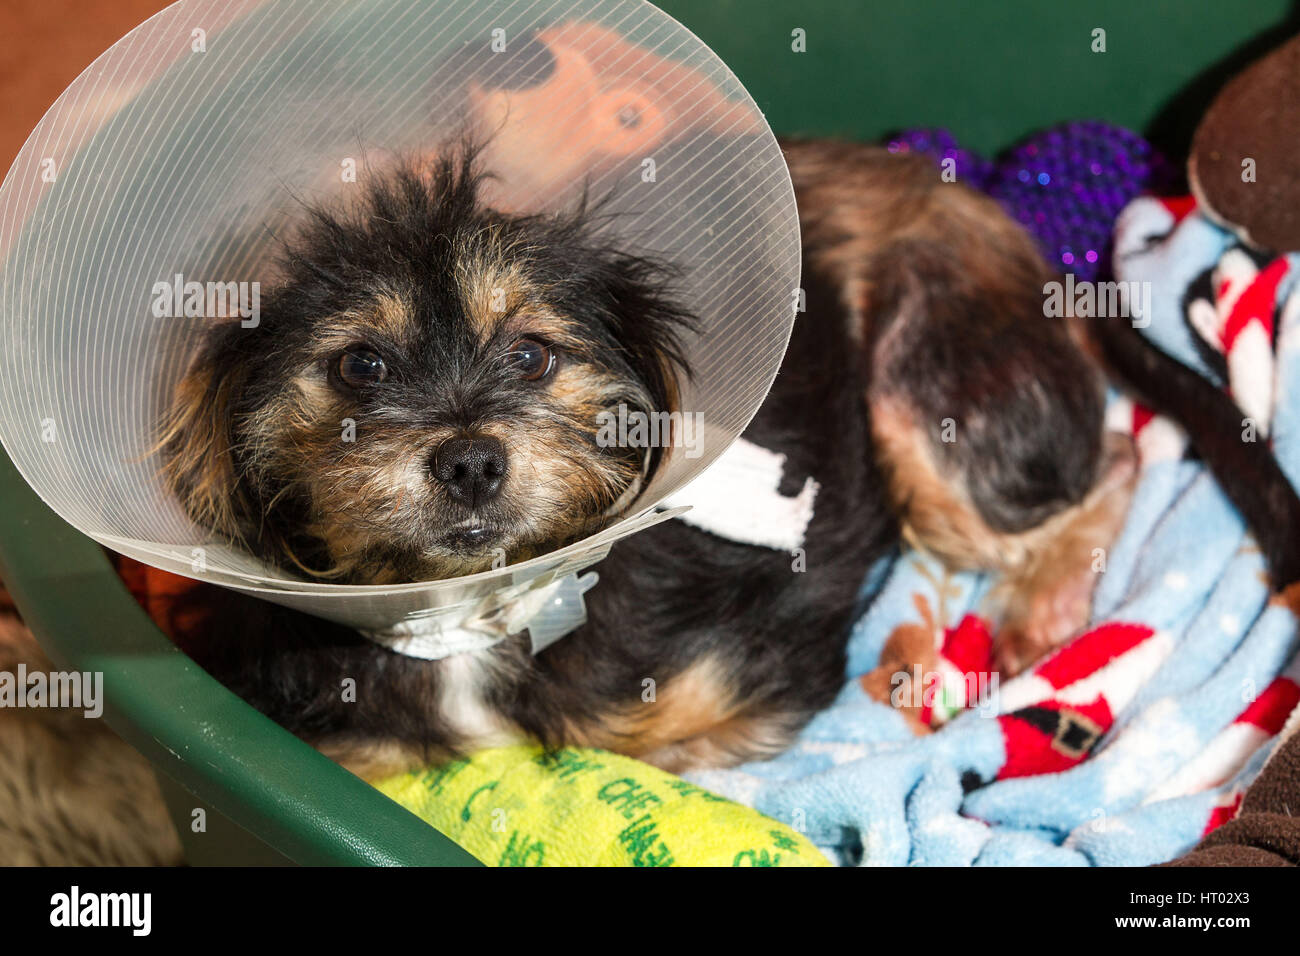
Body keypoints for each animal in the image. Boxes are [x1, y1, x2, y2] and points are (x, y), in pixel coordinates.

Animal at [159, 138, 1300, 780]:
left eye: (531, 352)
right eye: (359, 364)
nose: (470, 461)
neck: (480, 614)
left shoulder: (759, 678)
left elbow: (671, 746)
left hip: (931, 411)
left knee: (1110, 456)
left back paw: (1040, 612)